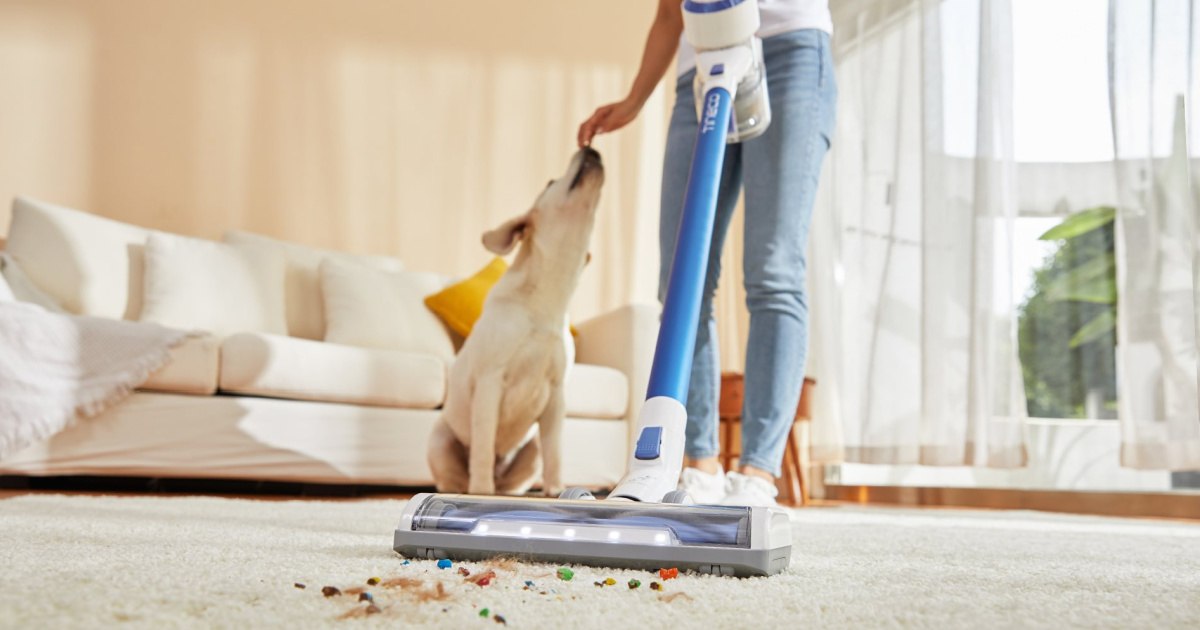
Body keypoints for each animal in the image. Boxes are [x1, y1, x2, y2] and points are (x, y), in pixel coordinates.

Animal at [427, 147, 604, 496]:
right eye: (550, 182)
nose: (590, 148)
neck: (548, 294)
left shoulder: (556, 396)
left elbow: (555, 454)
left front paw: (557, 490)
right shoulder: (490, 381)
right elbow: (483, 446)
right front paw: (481, 491)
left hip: (531, 449)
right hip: (440, 438)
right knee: (458, 478)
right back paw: (474, 490)